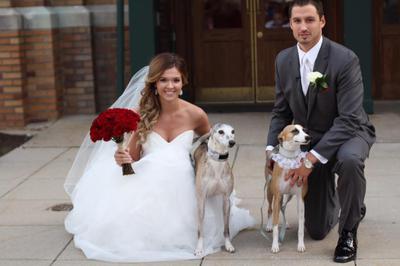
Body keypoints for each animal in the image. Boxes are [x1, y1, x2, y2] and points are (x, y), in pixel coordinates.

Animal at [191, 123, 236, 256]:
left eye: (233, 131)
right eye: (220, 131)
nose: (232, 142)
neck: (217, 163)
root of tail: (203, 143)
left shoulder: (226, 199)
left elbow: (226, 227)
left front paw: (228, 245)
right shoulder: (201, 200)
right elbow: (200, 229)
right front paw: (199, 248)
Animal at [264, 124, 310, 254]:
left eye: (304, 130)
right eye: (294, 131)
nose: (308, 137)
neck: (290, 159)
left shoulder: (300, 199)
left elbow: (301, 226)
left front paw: (301, 245)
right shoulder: (277, 195)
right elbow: (275, 227)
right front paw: (275, 245)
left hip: (288, 196)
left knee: (282, 207)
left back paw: (286, 223)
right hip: (270, 193)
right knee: (271, 209)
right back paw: (268, 225)